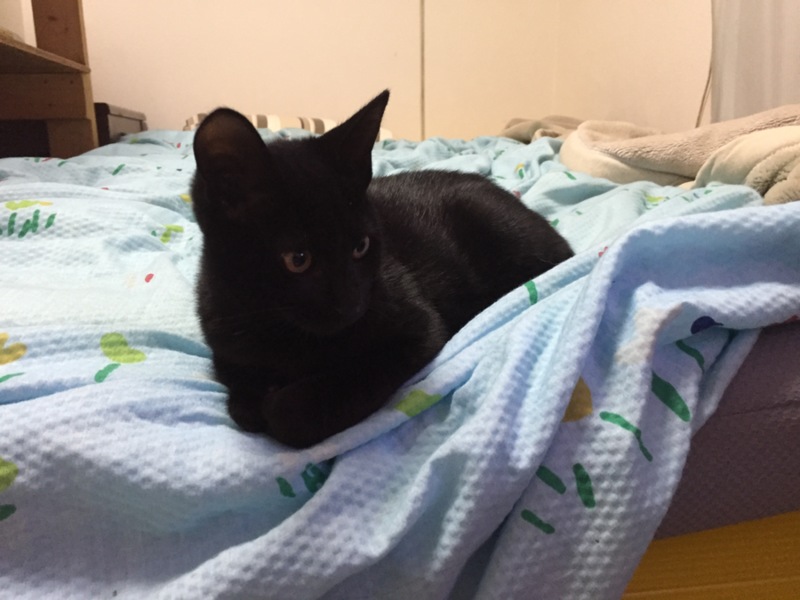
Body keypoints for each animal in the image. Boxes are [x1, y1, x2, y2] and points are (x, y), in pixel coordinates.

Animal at [191, 90, 573, 448]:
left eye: (360, 246)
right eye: (298, 259)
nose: (351, 304)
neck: (279, 329)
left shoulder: (418, 328)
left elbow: (343, 383)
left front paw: (280, 406)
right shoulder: (223, 337)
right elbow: (236, 382)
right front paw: (252, 399)